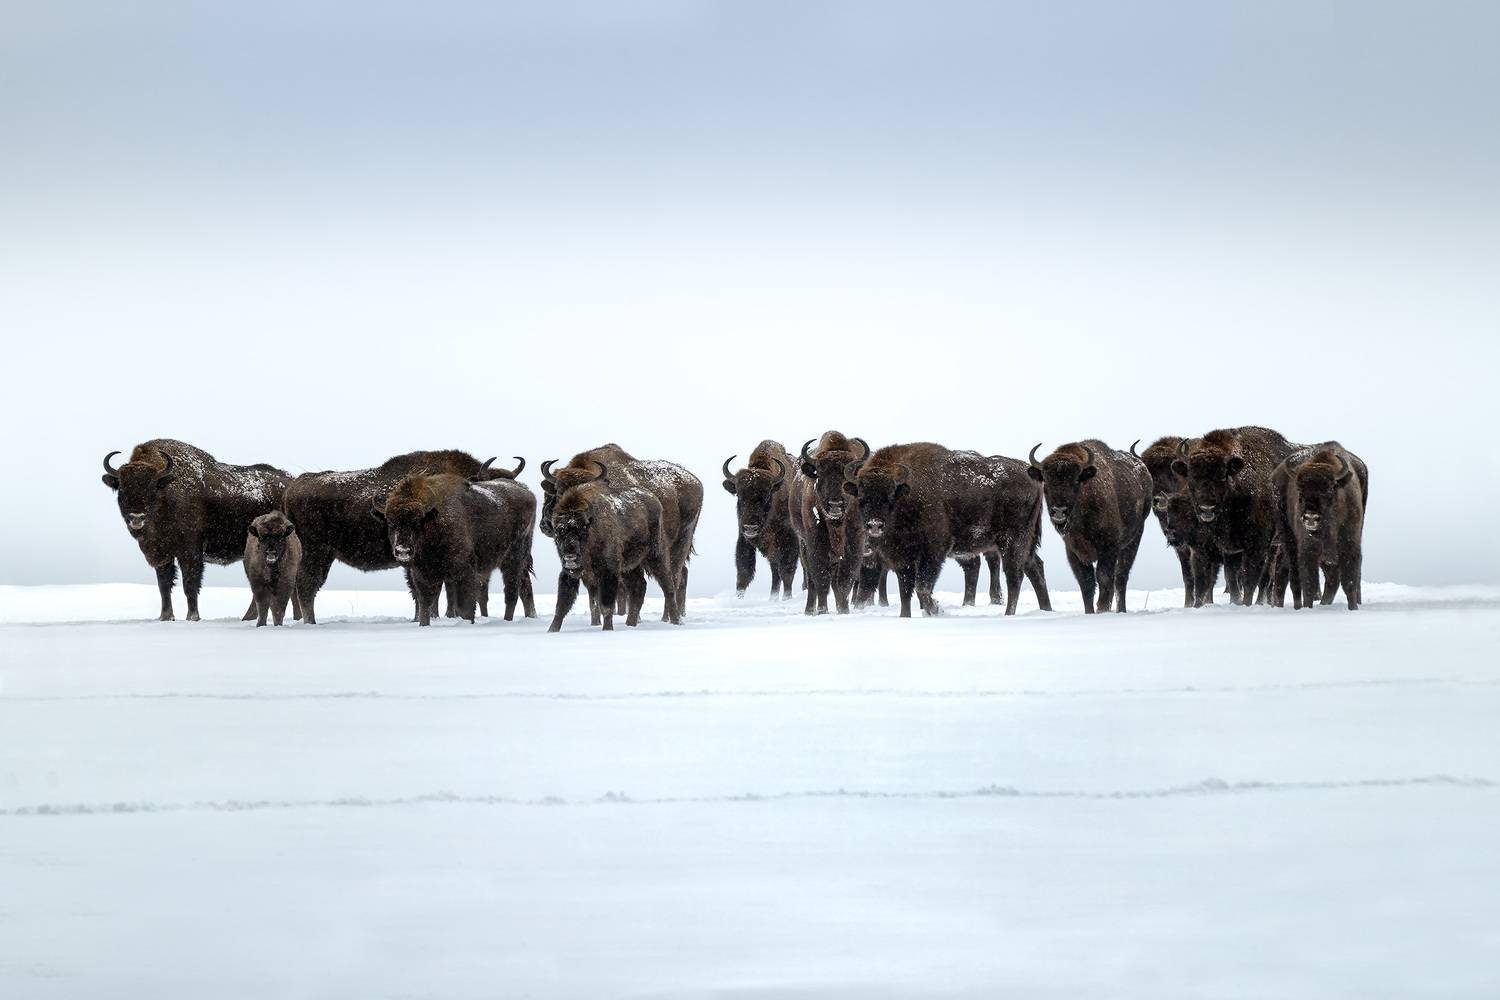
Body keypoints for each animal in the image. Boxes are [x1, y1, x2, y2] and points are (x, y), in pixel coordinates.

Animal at [101, 439, 290, 621]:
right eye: (122, 488)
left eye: (153, 487)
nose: (136, 517)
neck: (167, 494)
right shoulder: (163, 555)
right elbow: (164, 586)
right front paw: (165, 617)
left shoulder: (190, 552)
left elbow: (190, 584)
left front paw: (193, 617)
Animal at [1028, 440, 1151, 614]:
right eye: (1046, 483)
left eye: (1075, 481)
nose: (1059, 511)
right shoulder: (1073, 551)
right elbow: (1086, 583)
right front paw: (1090, 612)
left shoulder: (1108, 548)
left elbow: (1104, 578)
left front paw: (1102, 609)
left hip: (1133, 539)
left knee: (1121, 576)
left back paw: (1121, 610)